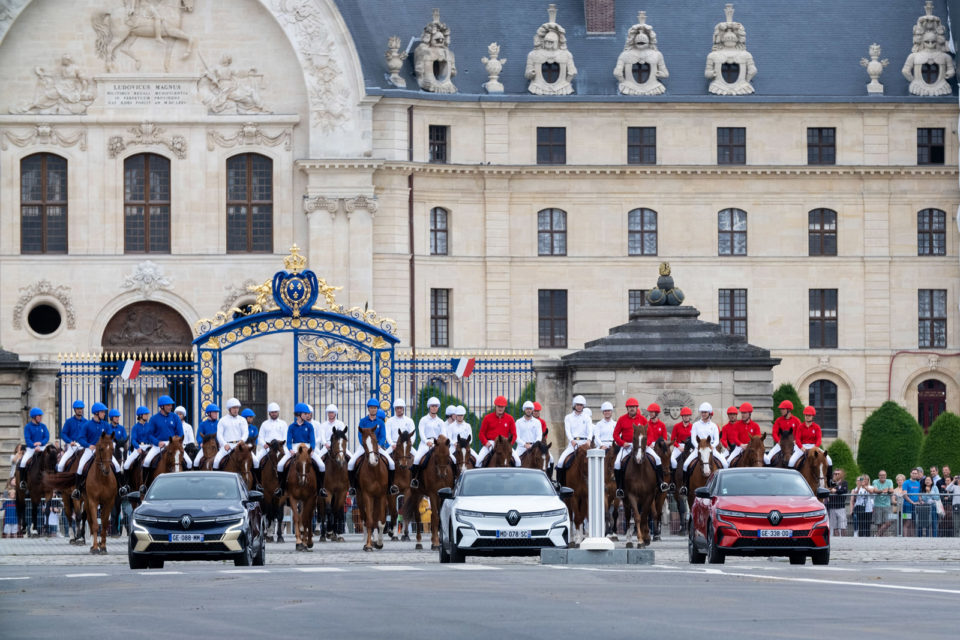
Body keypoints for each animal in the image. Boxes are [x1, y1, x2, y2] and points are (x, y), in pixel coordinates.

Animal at [354, 424, 388, 552]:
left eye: (376, 441)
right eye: (364, 443)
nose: (373, 461)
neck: (375, 471)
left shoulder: (382, 495)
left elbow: (381, 521)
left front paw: (379, 543)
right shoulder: (367, 495)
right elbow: (369, 520)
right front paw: (368, 545)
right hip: (360, 498)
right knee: (365, 518)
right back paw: (366, 541)